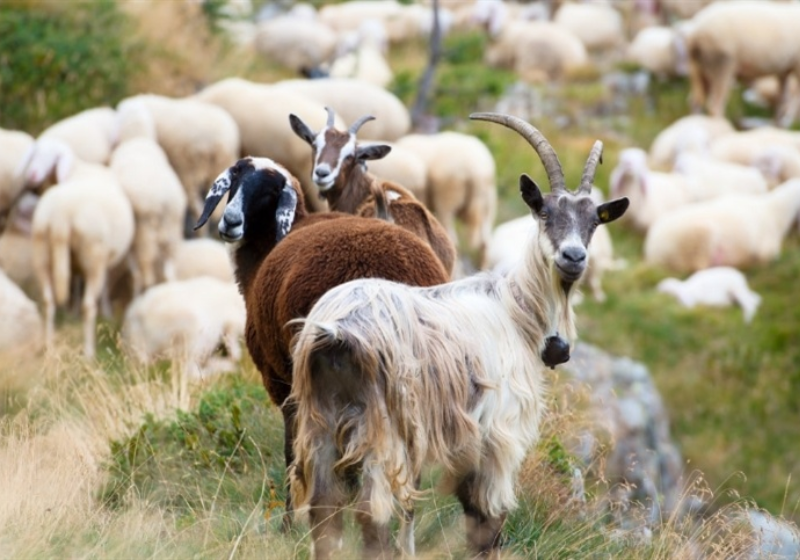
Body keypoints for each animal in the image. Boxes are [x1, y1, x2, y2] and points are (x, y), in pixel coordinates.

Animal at [193, 156, 449, 528]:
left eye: (268, 192)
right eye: (236, 180)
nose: (230, 221)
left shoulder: (282, 380)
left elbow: (292, 449)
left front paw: (289, 521)